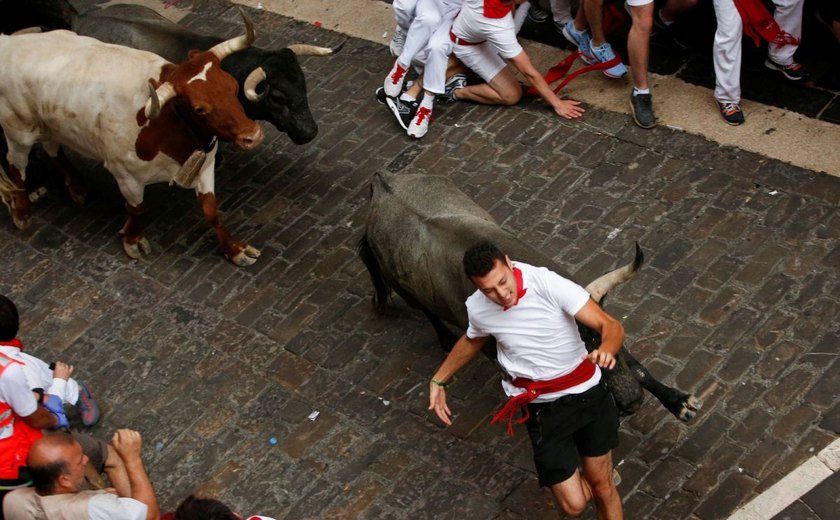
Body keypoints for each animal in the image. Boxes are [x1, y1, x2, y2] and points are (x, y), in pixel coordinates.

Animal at [0, 18, 266, 266]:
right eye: (200, 109)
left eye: (233, 86)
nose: (252, 135)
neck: (171, 123)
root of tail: (10, 43)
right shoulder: (127, 176)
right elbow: (136, 208)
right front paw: (131, 239)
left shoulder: (205, 166)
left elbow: (212, 212)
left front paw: (235, 249)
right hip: (18, 132)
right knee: (16, 166)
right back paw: (22, 212)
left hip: (50, 124)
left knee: (52, 149)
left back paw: (76, 187)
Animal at [358, 173, 700, 424]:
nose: (631, 402)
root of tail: (381, 181)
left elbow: (635, 363)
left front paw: (679, 401)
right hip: (405, 289)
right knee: (428, 312)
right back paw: (444, 338)